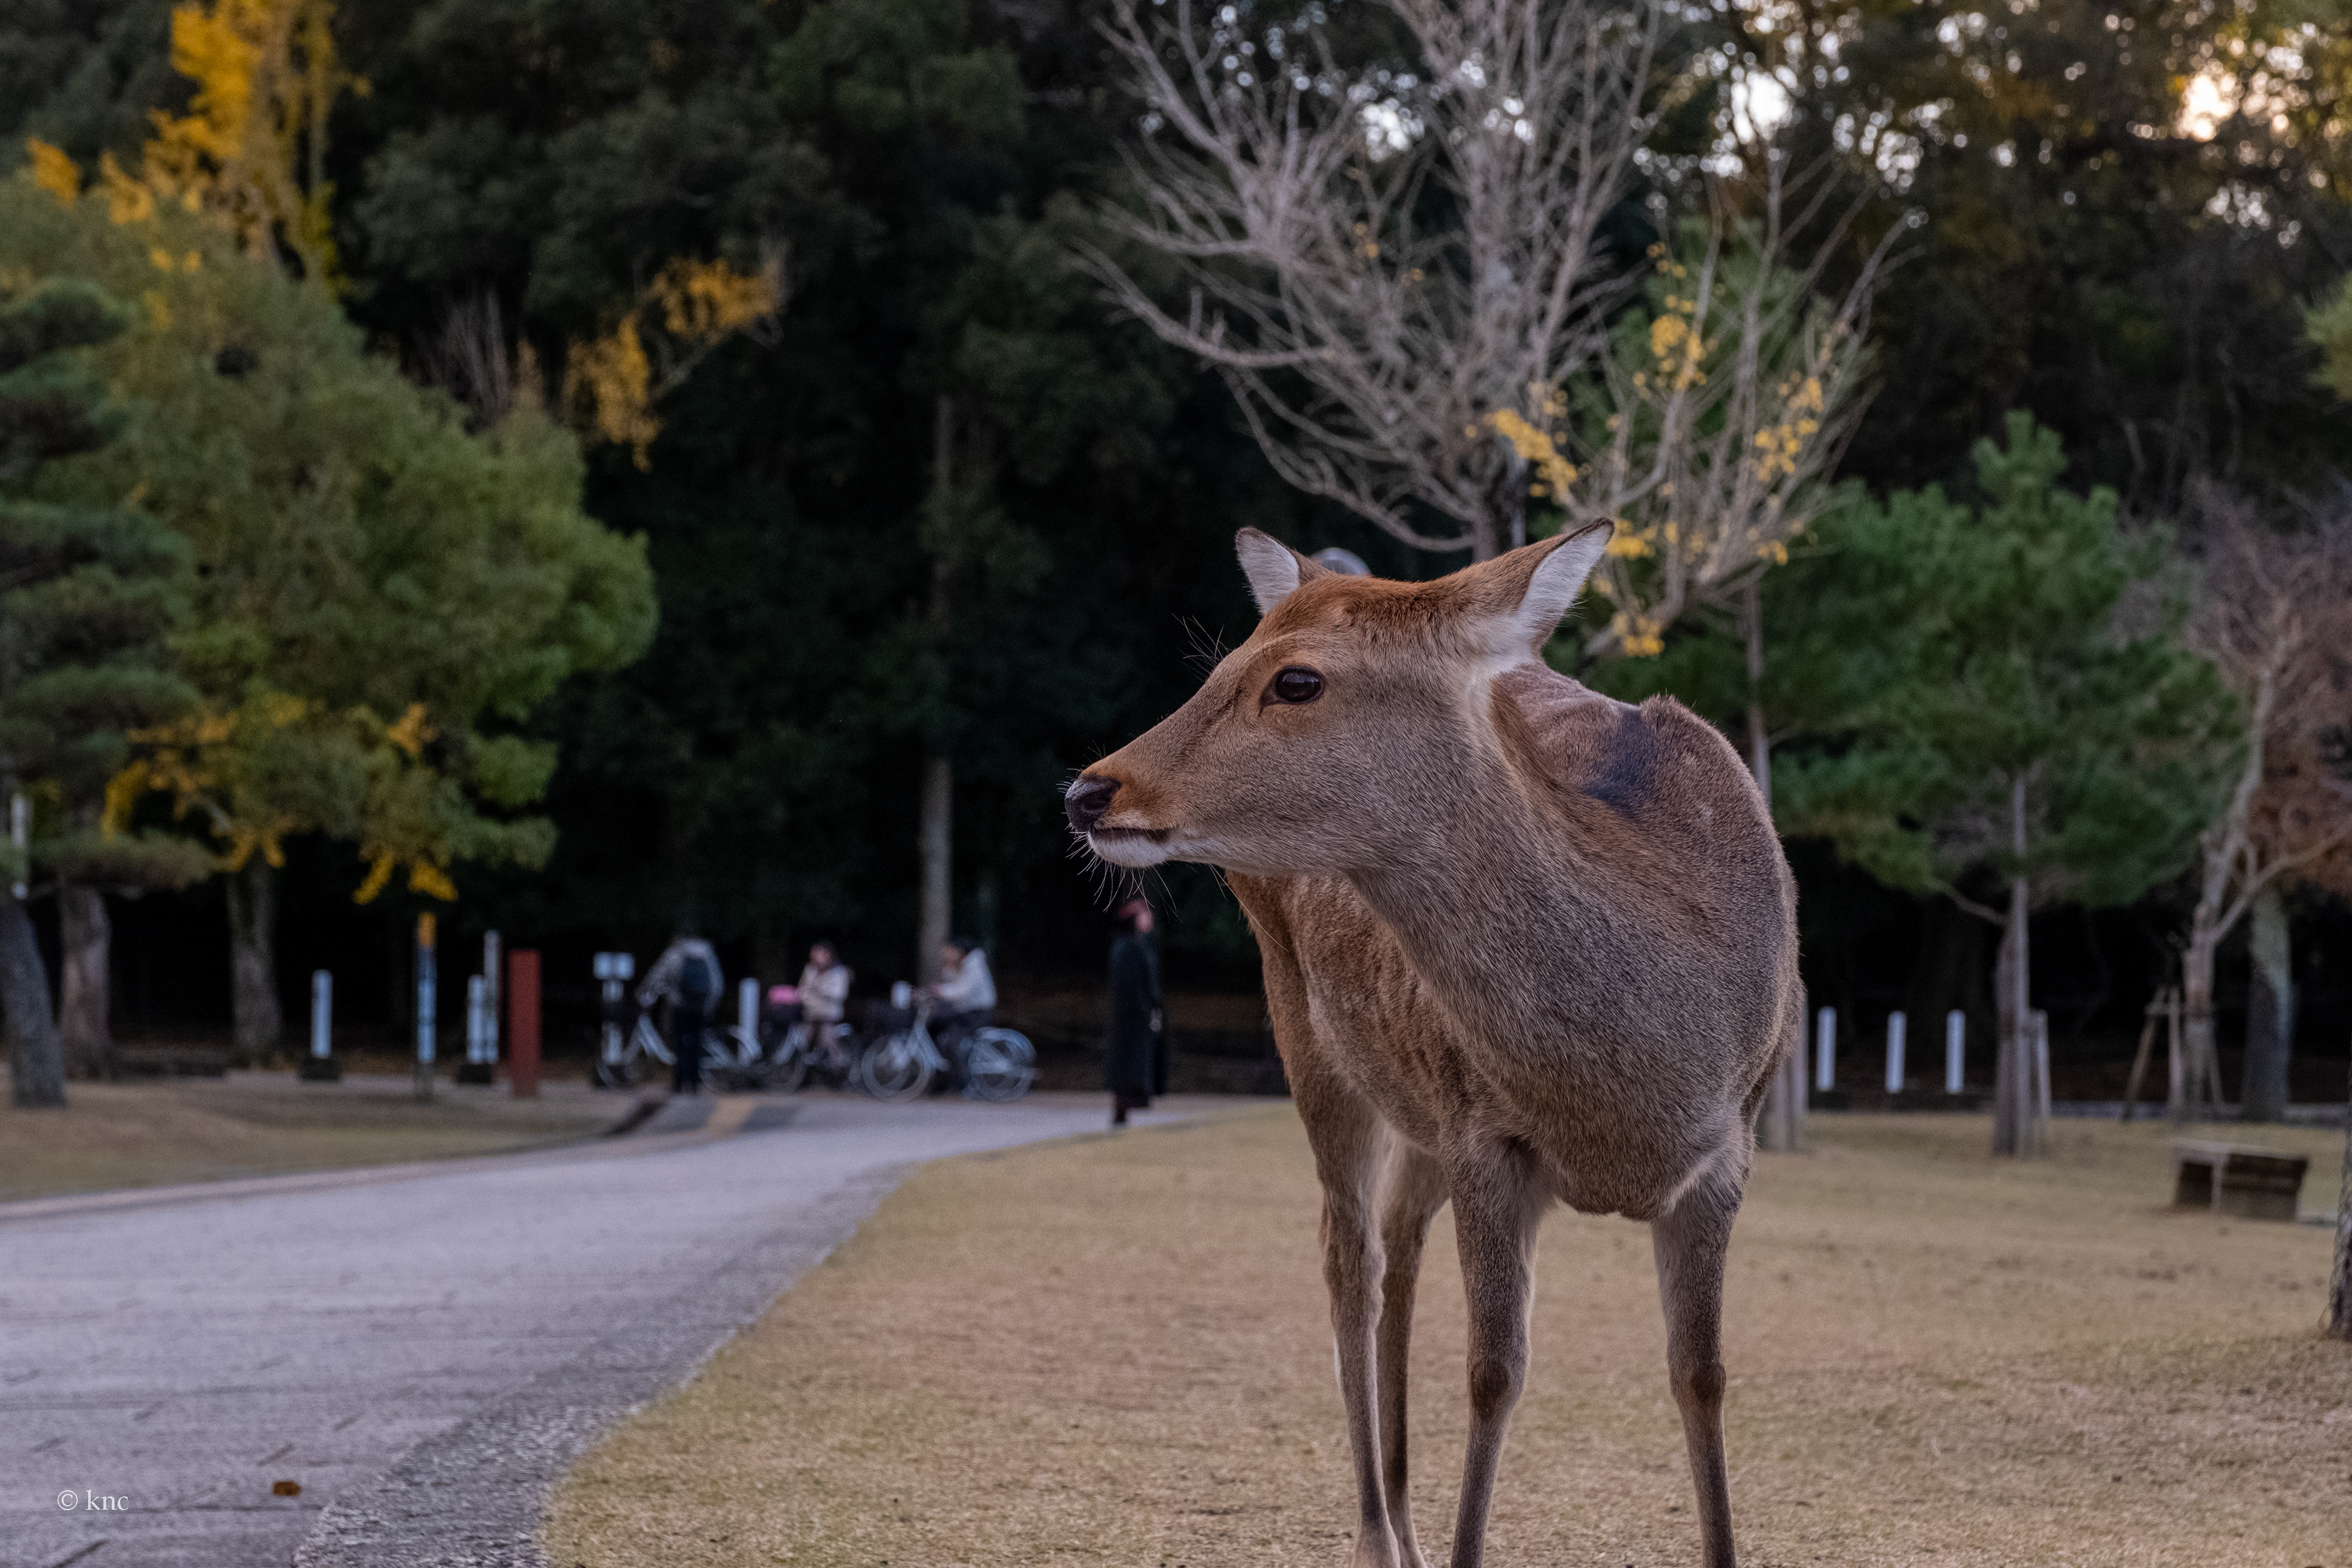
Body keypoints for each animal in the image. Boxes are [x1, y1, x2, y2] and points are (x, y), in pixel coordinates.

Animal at [1063, 526, 1798, 1568]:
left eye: (1296, 680)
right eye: (1220, 664)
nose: (1090, 789)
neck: (1632, 1094)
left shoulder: (1729, 1146)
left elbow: (1701, 1374)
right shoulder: (1490, 1140)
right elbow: (1495, 1372)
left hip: (1420, 1106)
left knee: (1400, 1241)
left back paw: (1404, 1523)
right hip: (1308, 1036)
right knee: (1350, 1257)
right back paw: (1378, 1532)